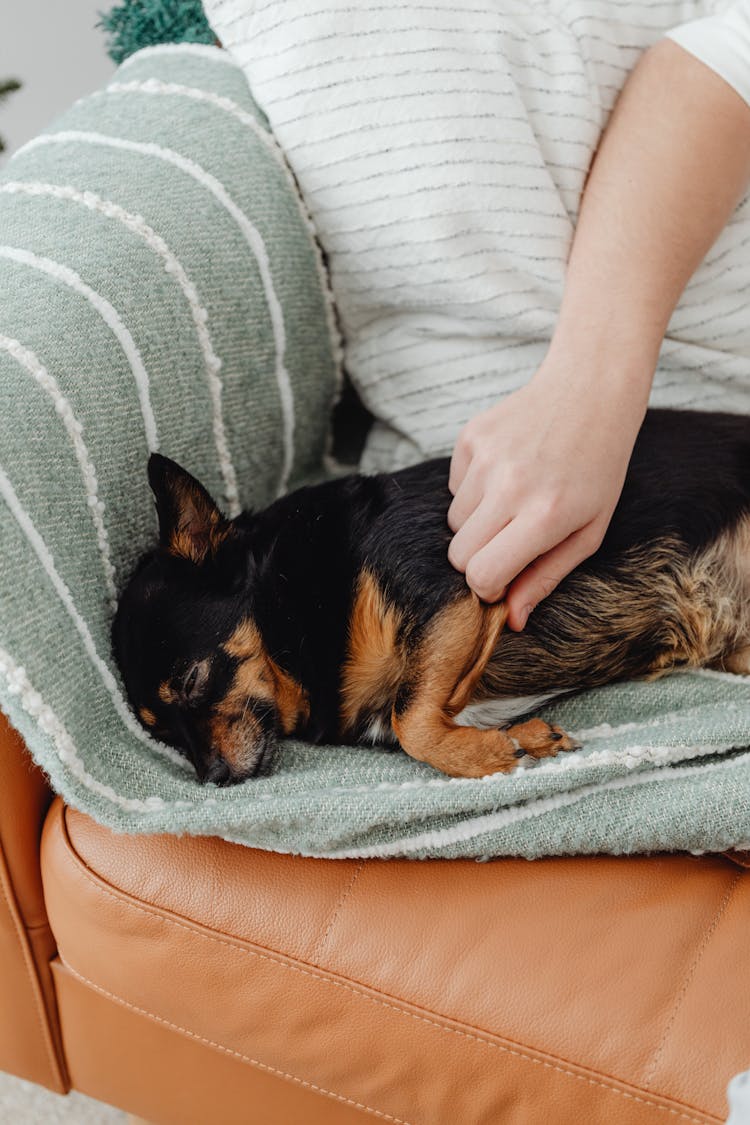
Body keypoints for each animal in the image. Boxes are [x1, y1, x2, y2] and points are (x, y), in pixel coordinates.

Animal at [111, 409, 750, 787]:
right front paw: (515, 740)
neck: (290, 599)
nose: (213, 779)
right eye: (162, 733)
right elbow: (413, 717)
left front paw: (488, 755)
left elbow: (410, 719)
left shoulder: (460, 590)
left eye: (193, 680)